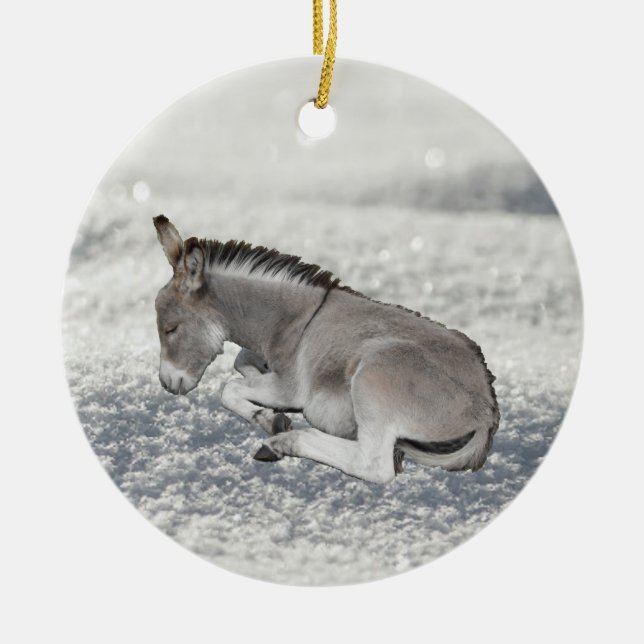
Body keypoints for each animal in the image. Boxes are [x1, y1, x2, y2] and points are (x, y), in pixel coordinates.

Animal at [153, 215, 500, 484]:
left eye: (170, 329)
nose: (167, 385)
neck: (289, 319)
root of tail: (486, 409)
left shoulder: (288, 388)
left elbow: (229, 388)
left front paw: (271, 418)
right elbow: (241, 362)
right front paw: (265, 407)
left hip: (374, 376)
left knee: (374, 465)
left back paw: (284, 441)